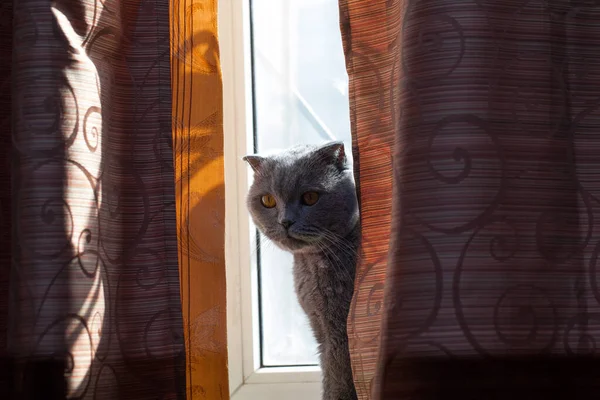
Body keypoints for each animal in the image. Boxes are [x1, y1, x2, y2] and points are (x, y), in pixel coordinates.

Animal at [243, 141, 358, 400]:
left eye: (310, 197)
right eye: (267, 200)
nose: (285, 221)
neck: (309, 264)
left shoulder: (340, 333)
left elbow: (339, 380)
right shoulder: (322, 332)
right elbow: (329, 377)